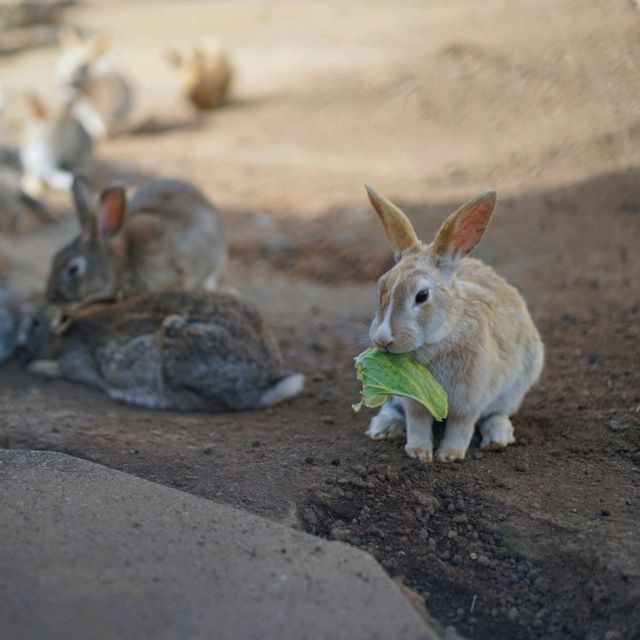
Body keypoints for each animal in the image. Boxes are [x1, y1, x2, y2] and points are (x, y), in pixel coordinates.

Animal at [23, 290, 304, 410]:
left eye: (35, 323)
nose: (24, 346)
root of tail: (267, 381)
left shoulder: (75, 361)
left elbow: (62, 367)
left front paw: (36, 366)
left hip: (170, 346)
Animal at [362, 188, 544, 462]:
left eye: (422, 295)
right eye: (381, 285)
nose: (383, 339)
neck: (441, 337)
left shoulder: (469, 399)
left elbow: (461, 426)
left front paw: (449, 455)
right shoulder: (414, 398)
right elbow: (417, 421)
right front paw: (419, 452)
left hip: (517, 385)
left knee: (497, 414)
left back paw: (497, 439)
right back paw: (382, 429)